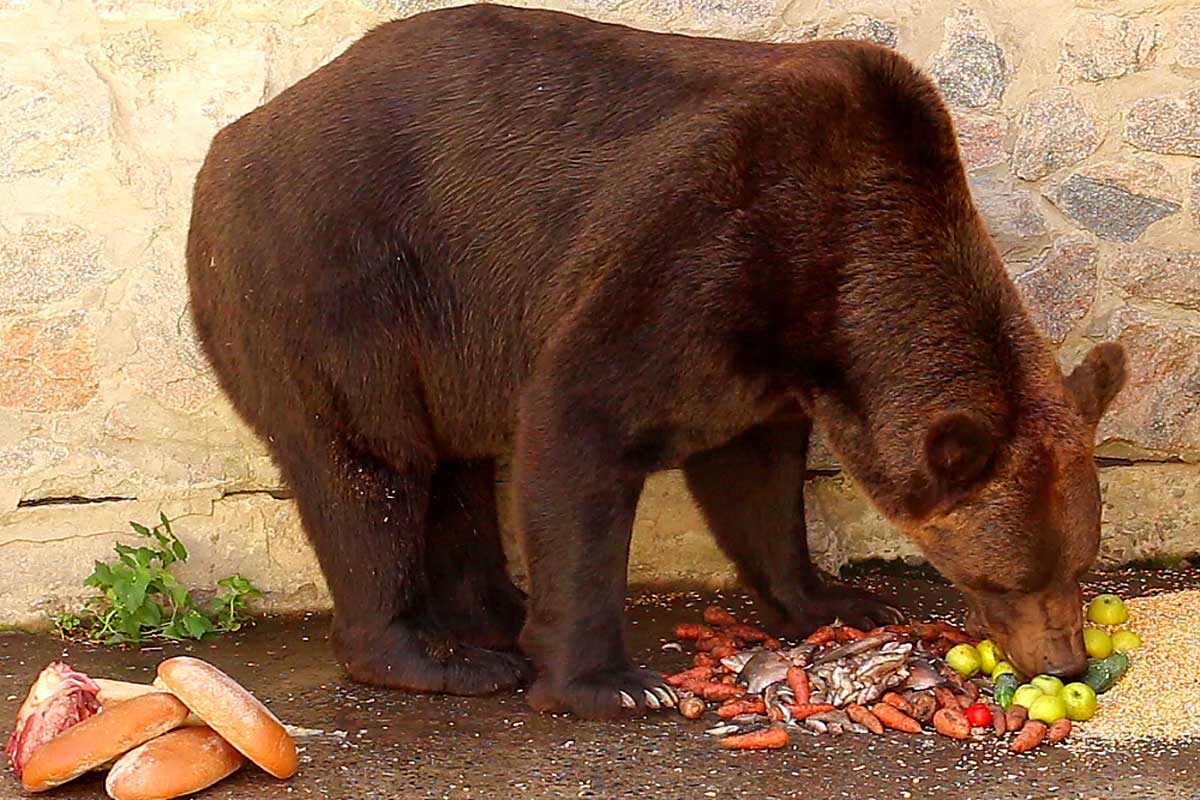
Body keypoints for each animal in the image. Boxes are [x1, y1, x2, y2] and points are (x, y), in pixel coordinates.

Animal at [184, 4, 1123, 719]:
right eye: (1005, 577)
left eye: (1081, 562)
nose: (1065, 663)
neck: (840, 269)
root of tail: (231, 140)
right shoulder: (695, 248)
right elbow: (578, 424)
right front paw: (613, 682)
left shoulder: (767, 343)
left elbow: (755, 474)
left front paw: (840, 599)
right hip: (332, 276)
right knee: (367, 463)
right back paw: (438, 657)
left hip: (439, 335)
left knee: (453, 465)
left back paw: (495, 615)